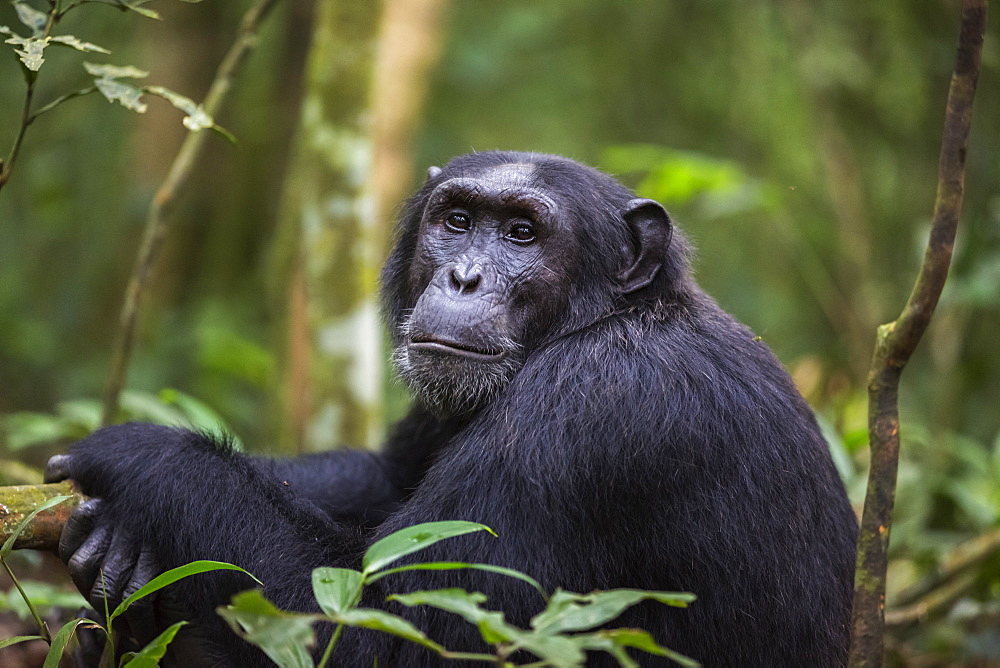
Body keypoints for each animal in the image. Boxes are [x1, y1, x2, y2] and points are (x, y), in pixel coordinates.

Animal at [45, 153, 860, 668]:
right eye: (459, 220)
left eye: (523, 233)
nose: (464, 277)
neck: (595, 322)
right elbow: (384, 477)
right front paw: (109, 540)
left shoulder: (585, 417)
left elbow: (385, 631)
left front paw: (140, 457)